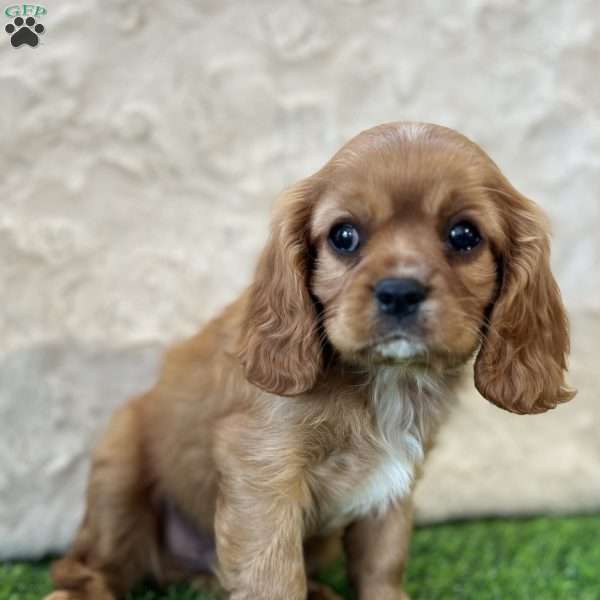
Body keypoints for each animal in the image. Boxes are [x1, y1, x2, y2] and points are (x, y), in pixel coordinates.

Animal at [44, 123, 576, 600]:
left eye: (464, 234)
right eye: (344, 236)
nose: (399, 292)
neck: (384, 379)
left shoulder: (395, 479)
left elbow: (382, 564)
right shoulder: (262, 471)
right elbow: (274, 576)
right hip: (118, 465)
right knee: (91, 565)